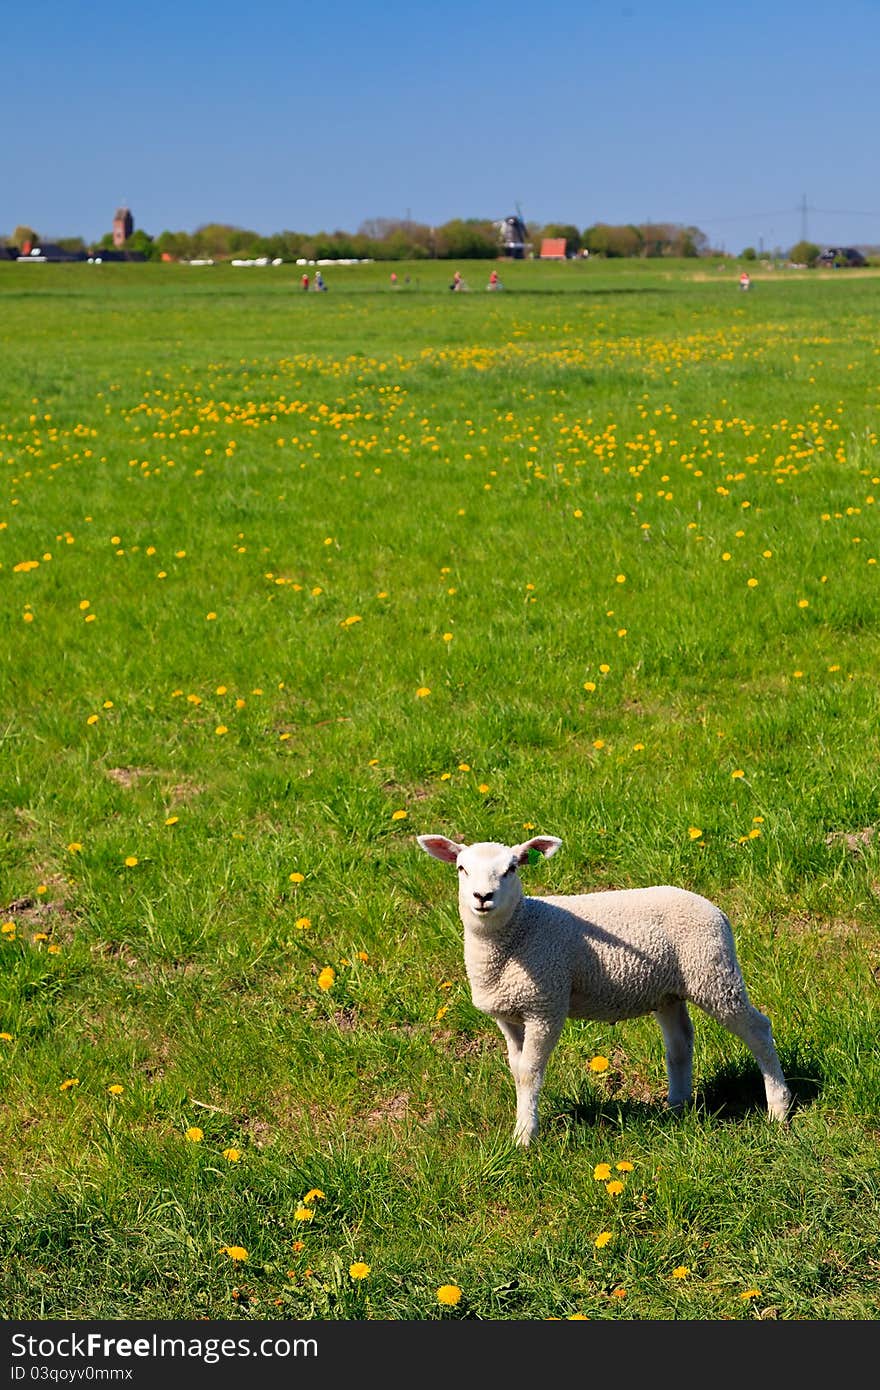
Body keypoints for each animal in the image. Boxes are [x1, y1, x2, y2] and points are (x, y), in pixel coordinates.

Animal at [414, 828, 795, 1145]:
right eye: (461, 868)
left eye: (511, 869)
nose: (483, 896)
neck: (519, 932)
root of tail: (716, 910)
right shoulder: (508, 1015)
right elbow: (517, 1070)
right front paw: (524, 1125)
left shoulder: (545, 1005)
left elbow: (530, 1073)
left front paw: (524, 1137)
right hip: (669, 990)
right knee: (680, 1043)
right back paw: (677, 1107)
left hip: (714, 972)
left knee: (758, 1030)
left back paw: (778, 1108)